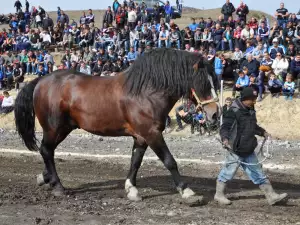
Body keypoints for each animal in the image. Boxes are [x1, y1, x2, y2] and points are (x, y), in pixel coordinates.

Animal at [14, 48, 220, 204]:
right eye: (202, 82)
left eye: (215, 80)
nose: (215, 114)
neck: (146, 92)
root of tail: (41, 81)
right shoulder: (152, 133)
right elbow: (170, 161)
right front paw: (187, 192)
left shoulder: (141, 137)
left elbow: (135, 161)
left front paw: (131, 190)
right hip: (53, 128)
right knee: (46, 150)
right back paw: (57, 186)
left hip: (63, 129)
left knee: (47, 151)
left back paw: (45, 177)